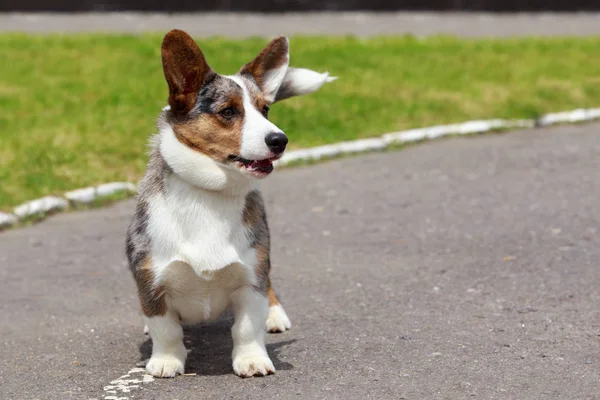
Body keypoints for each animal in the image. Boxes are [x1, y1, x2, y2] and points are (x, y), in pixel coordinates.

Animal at [126, 29, 336, 380]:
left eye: (265, 110)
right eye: (228, 112)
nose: (280, 140)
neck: (210, 193)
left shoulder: (251, 278)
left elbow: (246, 328)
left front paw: (252, 360)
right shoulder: (151, 280)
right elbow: (166, 329)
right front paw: (166, 360)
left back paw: (275, 315)